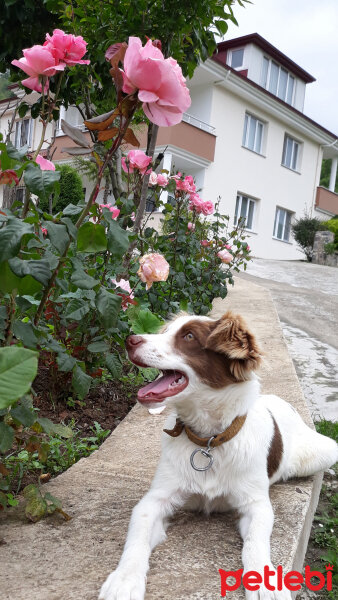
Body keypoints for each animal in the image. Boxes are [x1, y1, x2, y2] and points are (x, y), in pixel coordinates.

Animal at [99, 314, 336, 600]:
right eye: (166, 331)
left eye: (189, 336)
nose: (130, 339)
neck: (209, 441)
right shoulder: (156, 499)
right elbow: (138, 536)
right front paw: (124, 580)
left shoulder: (256, 504)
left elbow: (256, 542)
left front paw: (266, 582)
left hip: (324, 451)